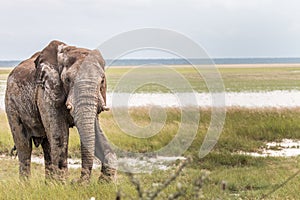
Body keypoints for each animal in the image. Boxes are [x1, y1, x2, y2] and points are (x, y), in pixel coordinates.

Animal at [4, 40, 117, 183]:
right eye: (68, 80)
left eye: (102, 81)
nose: (77, 181)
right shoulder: (46, 92)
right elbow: (60, 135)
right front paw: (62, 185)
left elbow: (97, 131)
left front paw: (105, 183)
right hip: (11, 104)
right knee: (24, 145)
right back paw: (26, 185)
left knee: (47, 145)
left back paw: (49, 184)